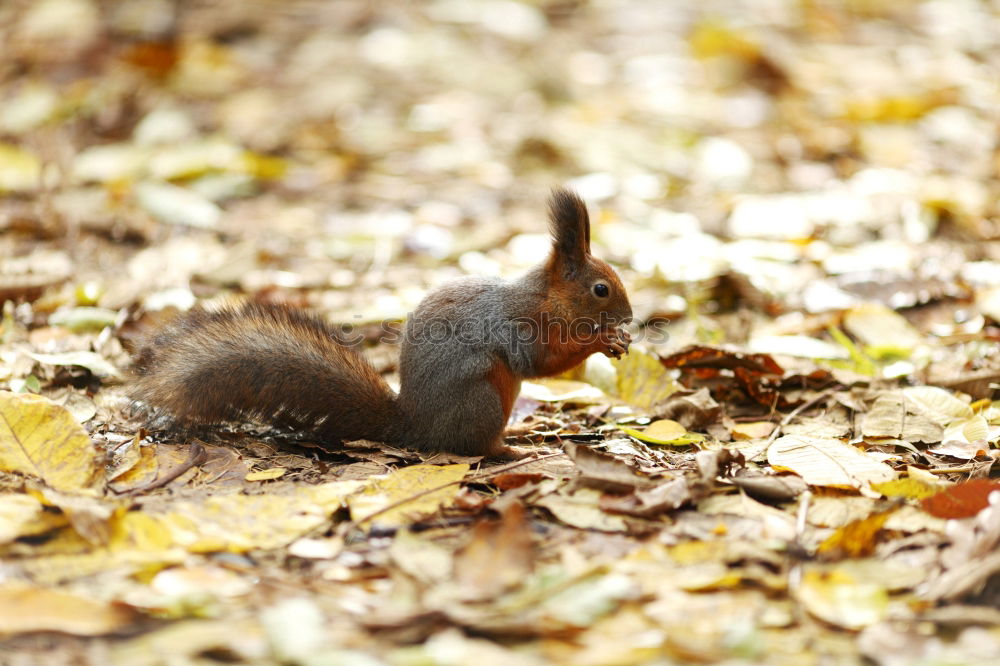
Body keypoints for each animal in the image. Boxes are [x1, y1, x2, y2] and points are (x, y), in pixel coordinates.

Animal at [131, 187, 632, 456]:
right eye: (600, 289)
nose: (630, 317)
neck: (549, 297)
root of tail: (416, 428)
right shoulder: (519, 324)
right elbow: (540, 361)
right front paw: (602, 340)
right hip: (483, 400)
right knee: (476, 446)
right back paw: (513, 447)